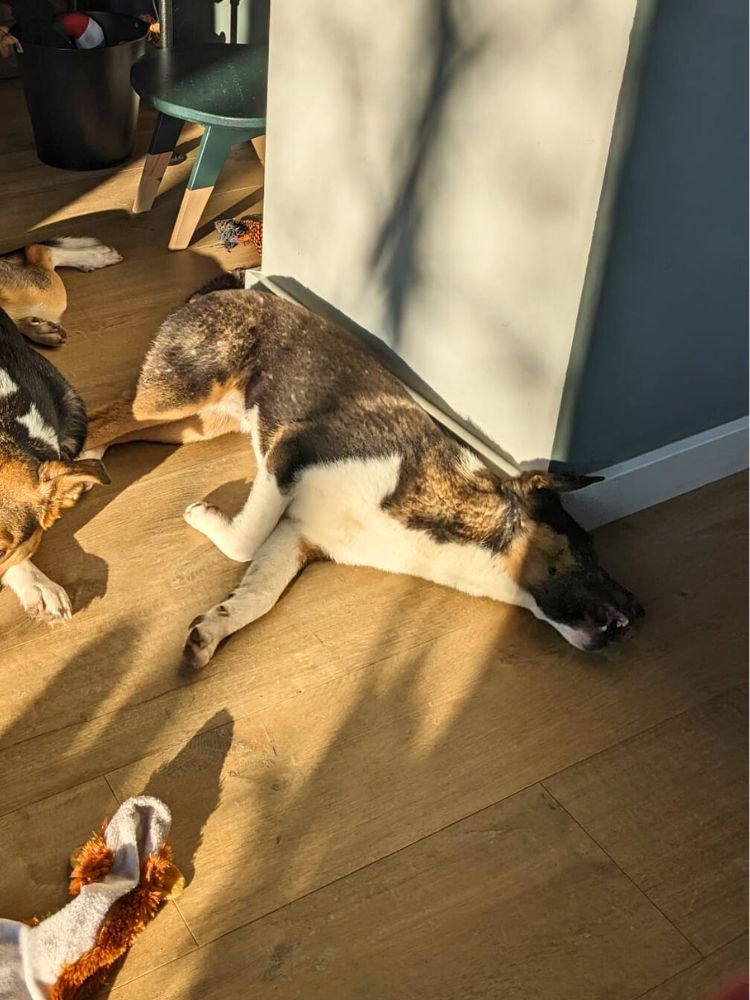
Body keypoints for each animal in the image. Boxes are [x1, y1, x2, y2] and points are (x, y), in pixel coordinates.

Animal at [85, 275, 644, 668]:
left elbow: (257, 595)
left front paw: (213, 630)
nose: (639, 614)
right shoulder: (289, 452)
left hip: (194, 424)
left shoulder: (296, 536)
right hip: (182, 393)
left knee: (112, 427)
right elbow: (242, 540)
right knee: (101, 417)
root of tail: (223, 289)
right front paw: (202, 515)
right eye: (588, 549)